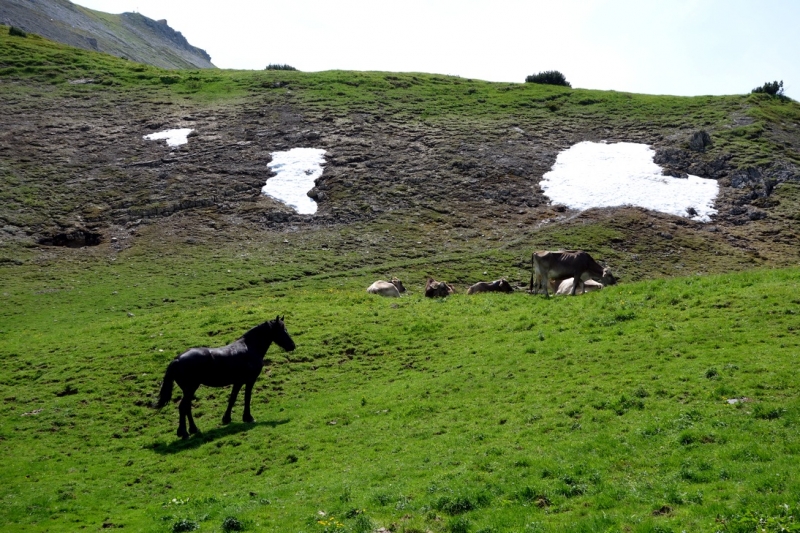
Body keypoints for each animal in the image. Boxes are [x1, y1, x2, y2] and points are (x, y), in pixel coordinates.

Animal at [155, 316, 296, 436]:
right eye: (282, 330)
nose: (292, 346)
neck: (249, 348)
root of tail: (177, 360)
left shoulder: (238, 382)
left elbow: (232, 398)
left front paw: (227, 419)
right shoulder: (250, 380)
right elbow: (247, 397)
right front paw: (248, 417)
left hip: (188, 390)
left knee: (187, 407)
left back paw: (194, 429)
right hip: (190, 389)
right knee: (183, 407)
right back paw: (183, 433)